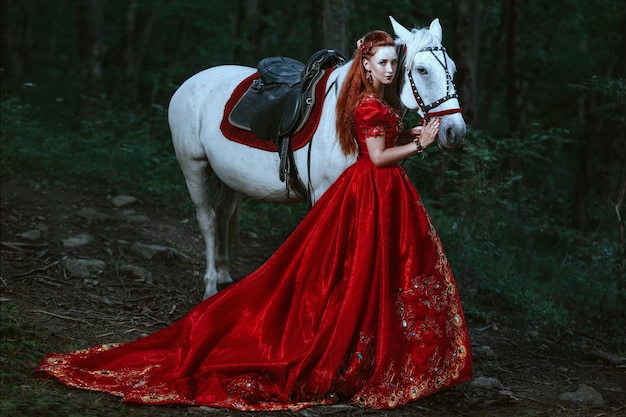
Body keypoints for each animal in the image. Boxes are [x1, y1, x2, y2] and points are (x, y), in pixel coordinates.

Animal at [169, 15, 464, 296]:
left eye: (452, 69)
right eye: (422, 70)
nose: (455, 131)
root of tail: (188, 83)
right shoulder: (322, 192)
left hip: (231, 175)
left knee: (223, 213)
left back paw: (223, 274)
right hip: (193, 166)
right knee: (207, 219)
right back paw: (210, 285)